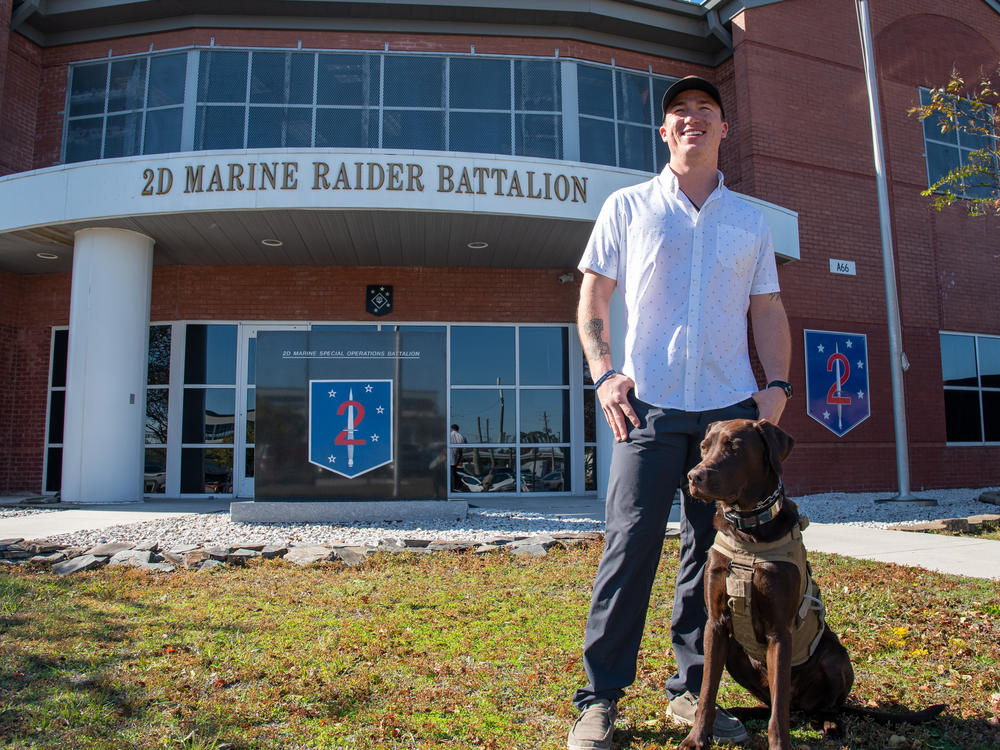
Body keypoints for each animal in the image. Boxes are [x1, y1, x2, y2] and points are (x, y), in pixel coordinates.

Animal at [676, 420, 940, 750]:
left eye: (733, 447)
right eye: (704, 446)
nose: (693, 476)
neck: (749, 531)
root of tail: (803, 707)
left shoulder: (779, 631)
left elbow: (778, 714)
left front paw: (779, 745)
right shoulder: (717, 624)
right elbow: (708, 690)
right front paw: (696, 738)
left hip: (836, 657)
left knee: (815, 706)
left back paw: (828, 722)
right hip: (737, 653)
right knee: (775, 704)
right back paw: (744, 712)